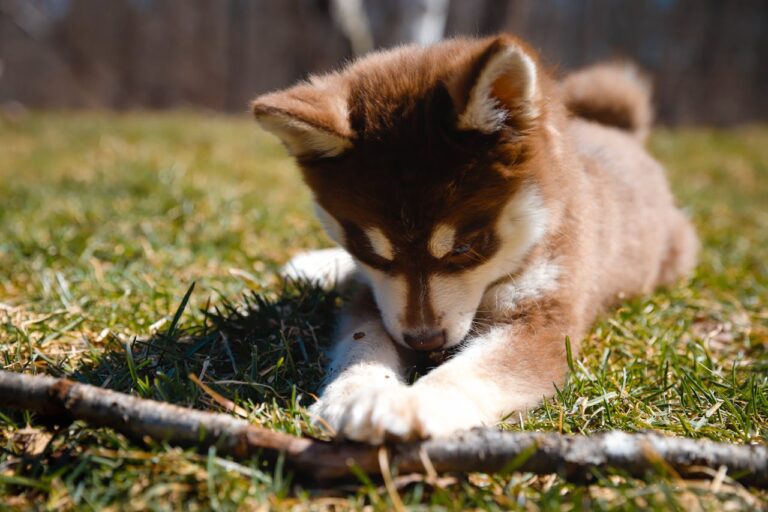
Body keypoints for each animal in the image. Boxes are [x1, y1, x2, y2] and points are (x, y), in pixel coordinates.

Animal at [250, 36, 696, 444]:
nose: (424, 340)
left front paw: (415, 402)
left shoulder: (543, 318)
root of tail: (621, 134)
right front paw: (354, 392)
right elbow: (362, 342)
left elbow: (472, 370)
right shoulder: (376, 297)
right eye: (369, 251)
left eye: (466, 247)